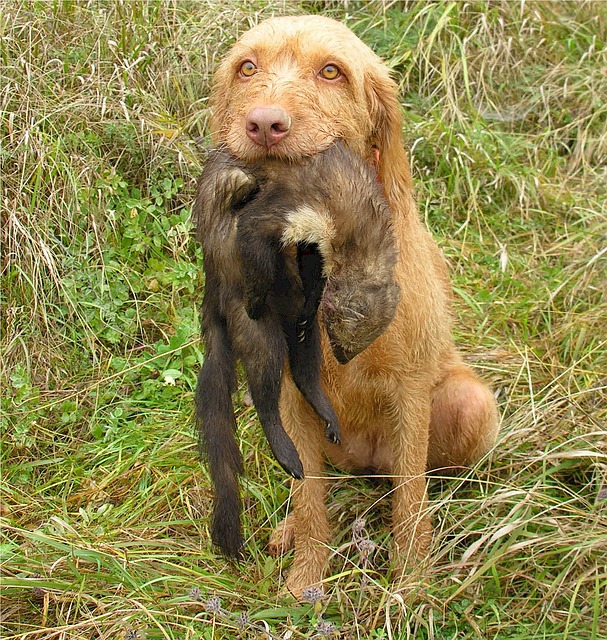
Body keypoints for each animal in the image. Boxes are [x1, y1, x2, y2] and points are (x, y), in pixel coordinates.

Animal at [207, 12, 502, 596]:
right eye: (247, 67)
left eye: (331, 71)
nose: (264, 124)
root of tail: (366, 463)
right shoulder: (293, 397)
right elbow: (310, 501)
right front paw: (305, 581)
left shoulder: (409, 391)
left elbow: (410, 502)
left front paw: (411, 582)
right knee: (315, 485)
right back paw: (291, 528)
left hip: (468, 403)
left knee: (416, 484)